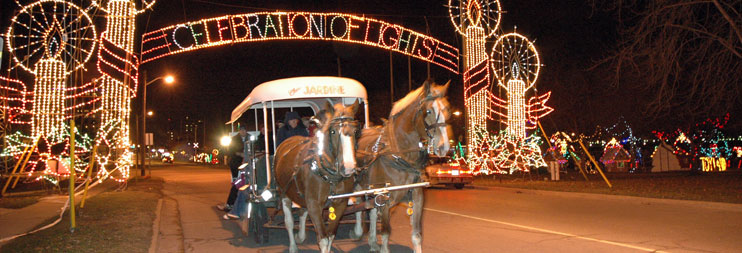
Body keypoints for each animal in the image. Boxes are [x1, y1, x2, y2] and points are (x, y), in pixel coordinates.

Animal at [276, 101, 364, 253]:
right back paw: (293, 245)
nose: (348, 168)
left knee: (302, 212)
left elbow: (331, 235)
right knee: (289, 222)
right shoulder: (314, 204)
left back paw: (300, 236)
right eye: (333, 131)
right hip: (284, 192)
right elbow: (323, 239)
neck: (328, 175)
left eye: (355, 131)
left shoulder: (340, 203)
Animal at [354, 79, 454, 253]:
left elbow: (417, 234)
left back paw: (372, 241)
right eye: (428, 111)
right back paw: (358, 231)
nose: (444, 147)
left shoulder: (417, 196)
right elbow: (386, 233)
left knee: (371, 211)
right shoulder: (384, 198)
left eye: (447, 110)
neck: (400, 156)